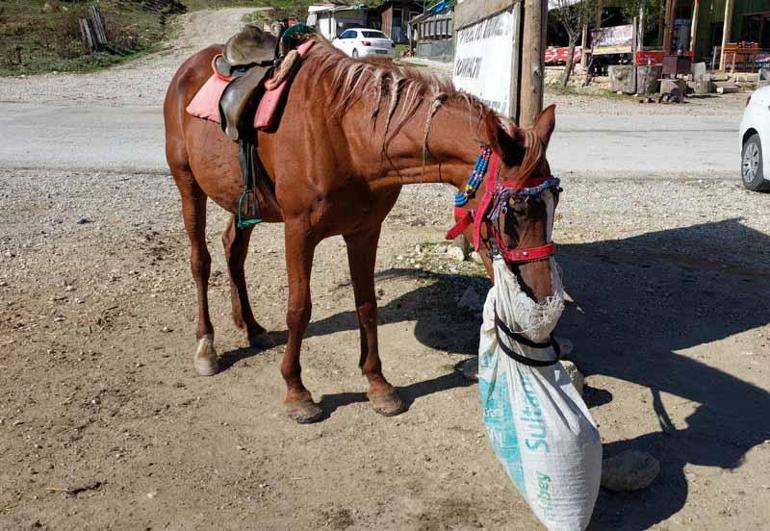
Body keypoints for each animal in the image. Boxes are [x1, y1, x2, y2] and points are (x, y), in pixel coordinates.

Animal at [164, 36, 560, 424]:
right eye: (512, 210)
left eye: (555, 198)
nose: (543, 304)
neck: (348, 134)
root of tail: (186, 71)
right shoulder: (299, 232)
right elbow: (299, 309)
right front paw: (296, 391)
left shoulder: (365, 231)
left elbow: (366, 305)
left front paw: (378, 384)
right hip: (189, 186)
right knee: (200, 261)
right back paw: (206, 346)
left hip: (244, 201)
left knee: (233, 249)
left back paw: (250, 326)